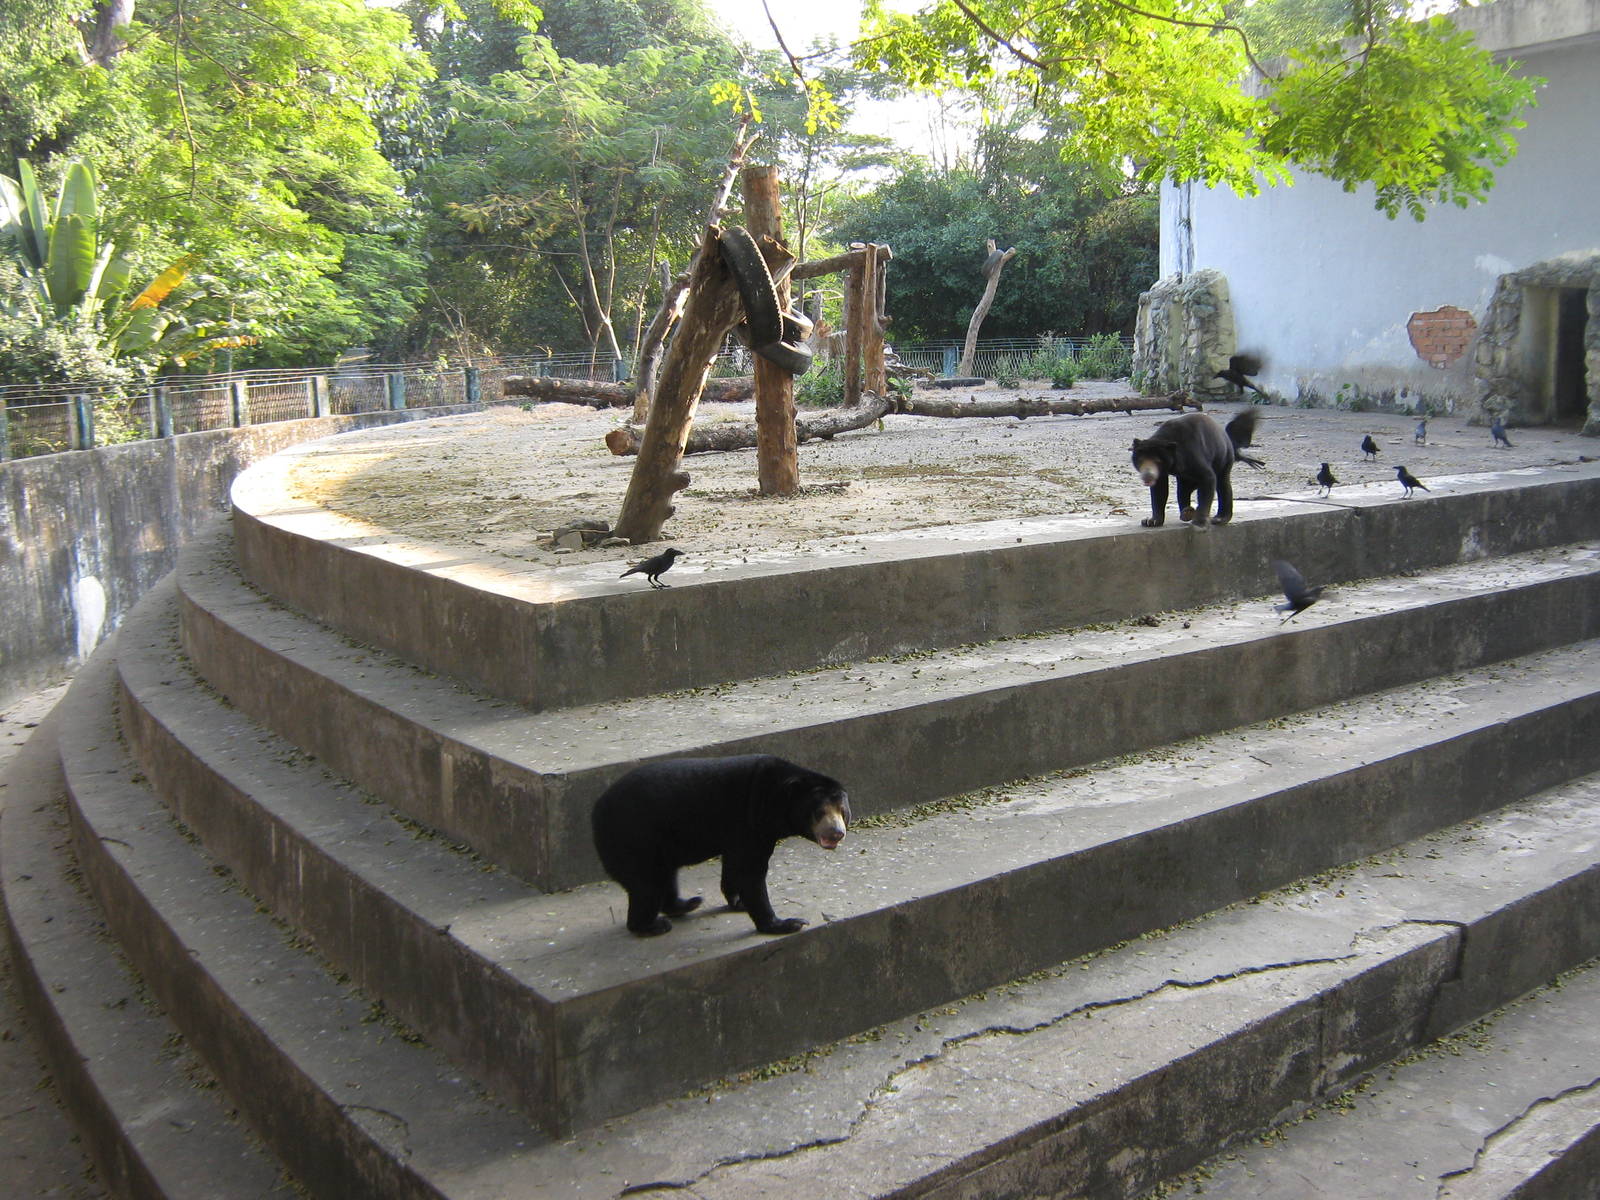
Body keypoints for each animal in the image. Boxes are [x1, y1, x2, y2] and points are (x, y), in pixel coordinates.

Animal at [590, 754, 851, 937]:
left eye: (843, 811)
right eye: (819, 812)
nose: (837, 832)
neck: (774, 797)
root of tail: (595, 813)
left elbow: (734, 867)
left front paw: (738, 902)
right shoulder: (748, 823)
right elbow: (750, 872)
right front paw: (786, 923)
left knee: (665, 877)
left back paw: (686, 904)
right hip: (634, 839)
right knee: (647, 884)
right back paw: (652, 926)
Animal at [1130, 409, 1264, 528]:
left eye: (1158, 461)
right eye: (1141, 460)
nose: (1148, 474)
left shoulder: (1192, 454)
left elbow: (1208, 478)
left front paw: (1199, 522)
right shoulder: (1163, 471)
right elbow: (1159, 490)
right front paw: (1151, 521)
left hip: (1223, 458)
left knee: (1223, 484)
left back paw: (1219, 518)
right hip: (1186, 476)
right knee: (1183, 489)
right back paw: (1186, 512)